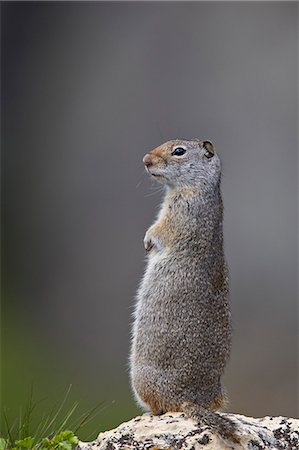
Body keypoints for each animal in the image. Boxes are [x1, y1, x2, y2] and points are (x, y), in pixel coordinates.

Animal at [129, 138, 239, 442]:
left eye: (178, 151)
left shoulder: (180, 209)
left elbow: (161, 229)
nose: (145, 160)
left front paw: (147, 241)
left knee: (160, 407)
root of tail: (188, 400)